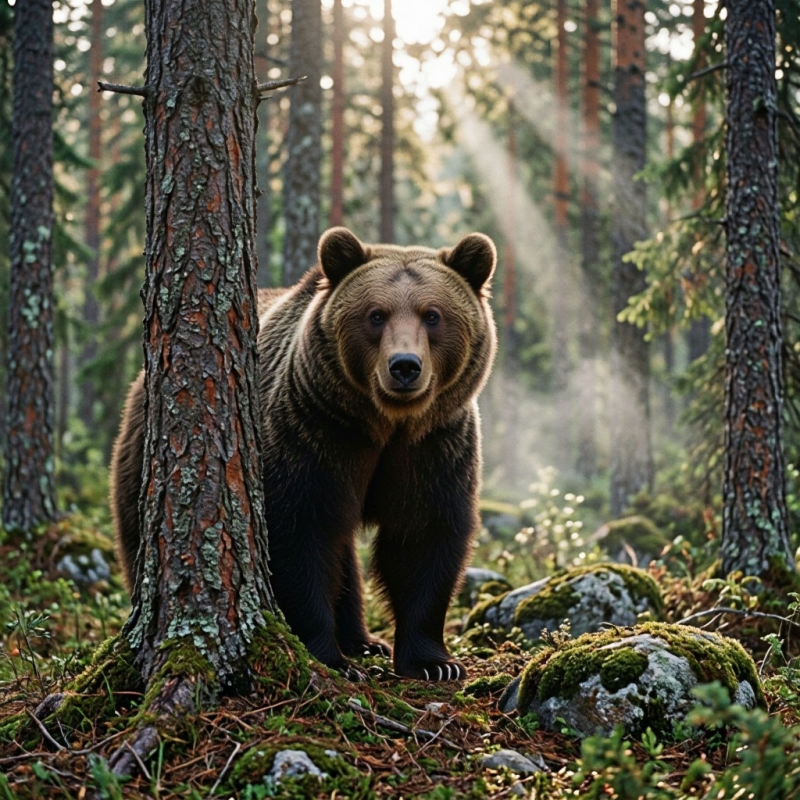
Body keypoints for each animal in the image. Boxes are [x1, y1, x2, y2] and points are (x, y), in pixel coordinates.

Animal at [110, 227, 497, 681]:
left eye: (433, 315)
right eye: (376, 314)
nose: (404, 366)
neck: (386, 424)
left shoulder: (434, 446)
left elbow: (424, 535)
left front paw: (433, 663)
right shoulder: (315, 433)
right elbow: (300, 533)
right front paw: (330, 657)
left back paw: (365, 641)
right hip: (143, 457)